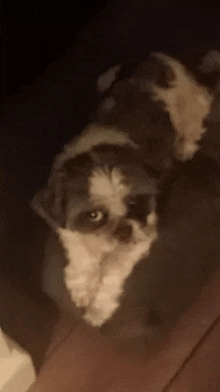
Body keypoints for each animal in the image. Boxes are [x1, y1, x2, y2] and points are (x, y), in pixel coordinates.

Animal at [31, 50, 218, 330]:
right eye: (93, 215)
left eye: (135, 204)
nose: (123, 229)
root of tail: (163, 59)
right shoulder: (62, 213)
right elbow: (78, 246)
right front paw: (81, 285)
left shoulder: (144, 232)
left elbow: (115, 270)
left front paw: (100, 308)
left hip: (190, 107)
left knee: (193, 124)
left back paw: (185, 145)